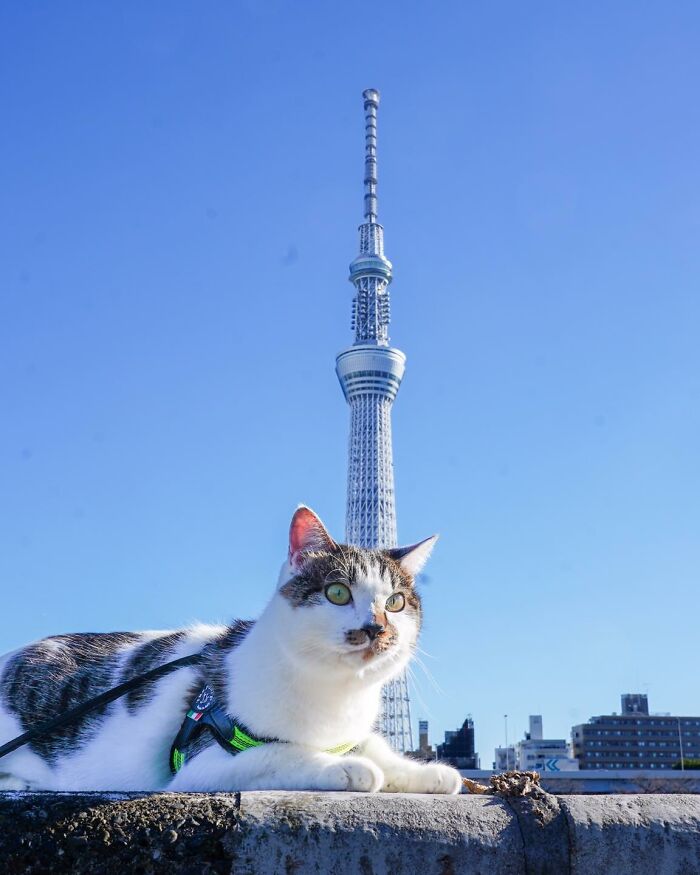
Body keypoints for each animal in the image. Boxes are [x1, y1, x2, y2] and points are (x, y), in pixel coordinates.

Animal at [0, 506, 462, 800]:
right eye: (337, 593)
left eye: (396, 603)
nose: (376, 628)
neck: (337, 694)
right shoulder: (203, 766)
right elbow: (282, 752)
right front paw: (350, 769)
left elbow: (373, 745)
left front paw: (426, 772)